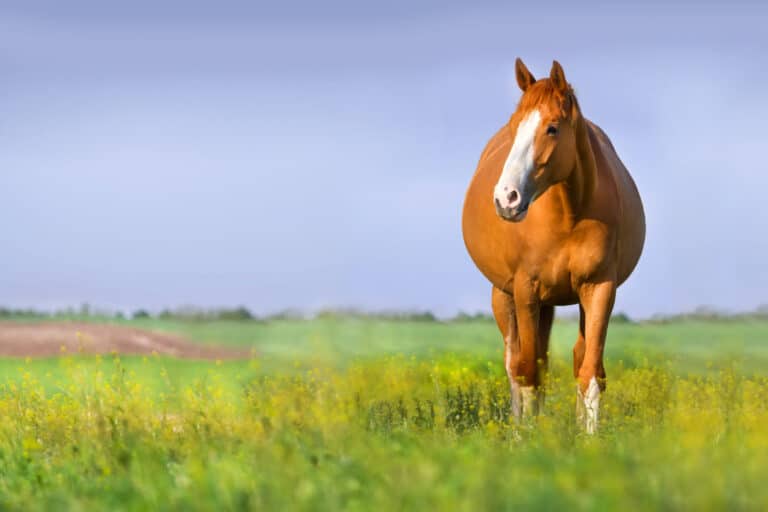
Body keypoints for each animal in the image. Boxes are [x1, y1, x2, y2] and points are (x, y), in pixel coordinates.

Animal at [462, 58, 648, 432]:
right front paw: (528, 438)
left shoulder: (599, 288)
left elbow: (590, 372)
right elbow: (527, 373)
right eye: (514, 126)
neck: (568, 214)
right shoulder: (525, 290)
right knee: (516, 365)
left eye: (551, 128)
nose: (506, 198)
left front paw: (588, 437)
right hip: (504, 297)